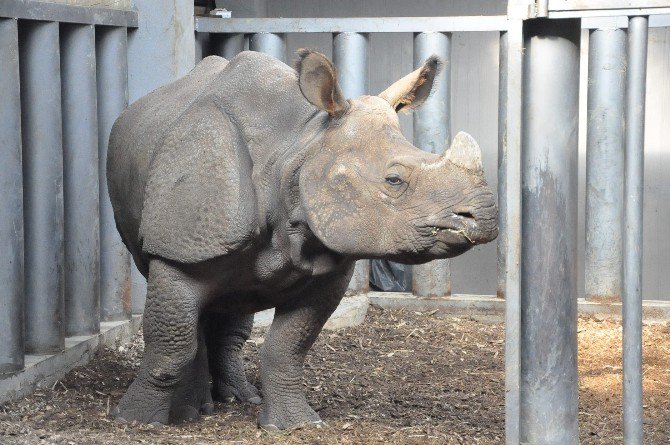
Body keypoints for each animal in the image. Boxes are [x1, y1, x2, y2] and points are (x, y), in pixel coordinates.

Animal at [109, 49, 498, 430]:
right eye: (394, 180)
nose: (486, 215)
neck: (299, 149)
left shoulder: (327, 266)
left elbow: (288, 348)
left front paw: (295, 425)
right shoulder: (180, 248)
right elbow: (170, 345)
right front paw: (137, 420)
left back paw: (238, 398)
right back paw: (194, 410)